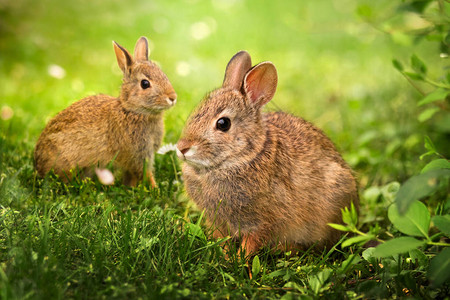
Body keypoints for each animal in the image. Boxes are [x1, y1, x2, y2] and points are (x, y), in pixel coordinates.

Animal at [34, 36, 176, 186]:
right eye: (145, 84)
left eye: (164, 75)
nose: (173, 97)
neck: (133, 111)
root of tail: (38, 165)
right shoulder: (138, 154)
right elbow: (144, 174)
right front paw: (155, 188)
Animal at [176, 51, 358, 255]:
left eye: (223, 124)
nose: (182, 147)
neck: (243, 157)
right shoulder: (218, 220)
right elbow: (221, 237)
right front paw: (223, 254)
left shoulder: (262, 220)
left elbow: (251, 242)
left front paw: (237, 259)